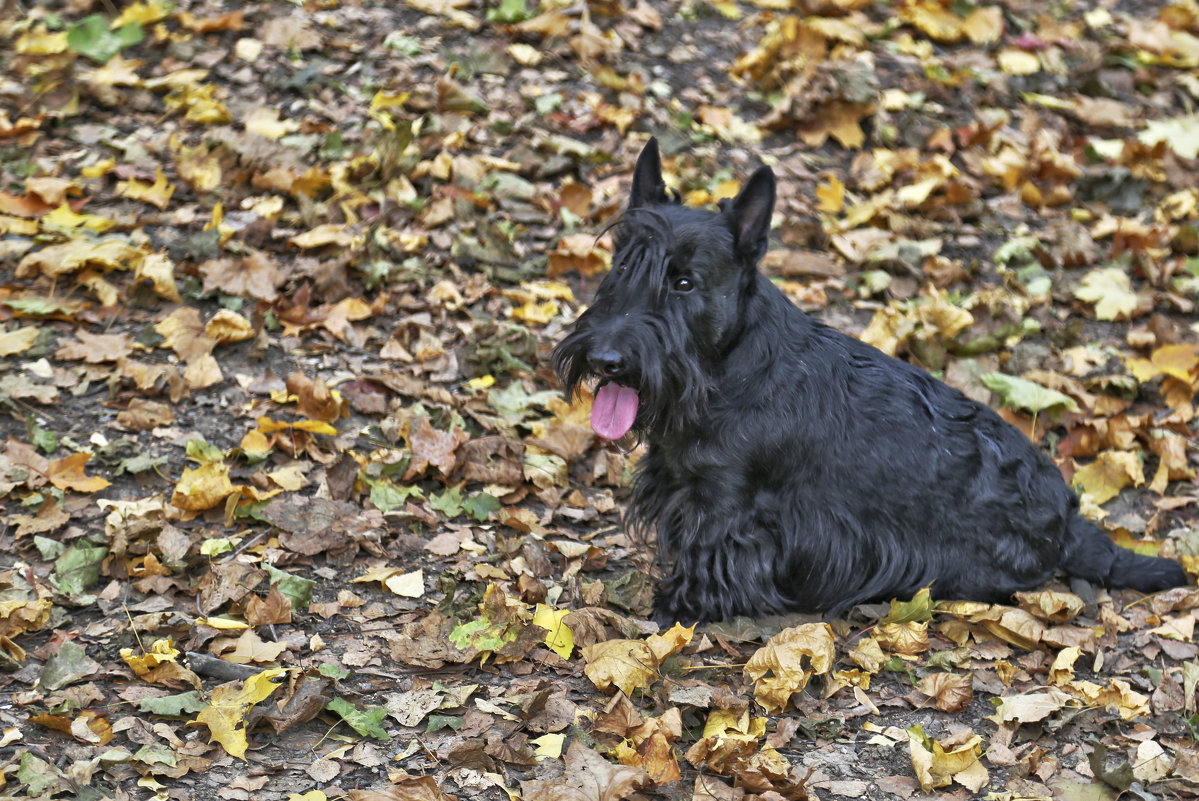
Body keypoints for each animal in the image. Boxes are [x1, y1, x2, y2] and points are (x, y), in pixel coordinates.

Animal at [553, 139, 1189, 623]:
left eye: (684, 282)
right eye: (623, 264)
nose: (608, 359)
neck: (726, 369)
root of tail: (1067, 521)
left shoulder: (727, 502)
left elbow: (713, 554)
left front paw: (680, 604)